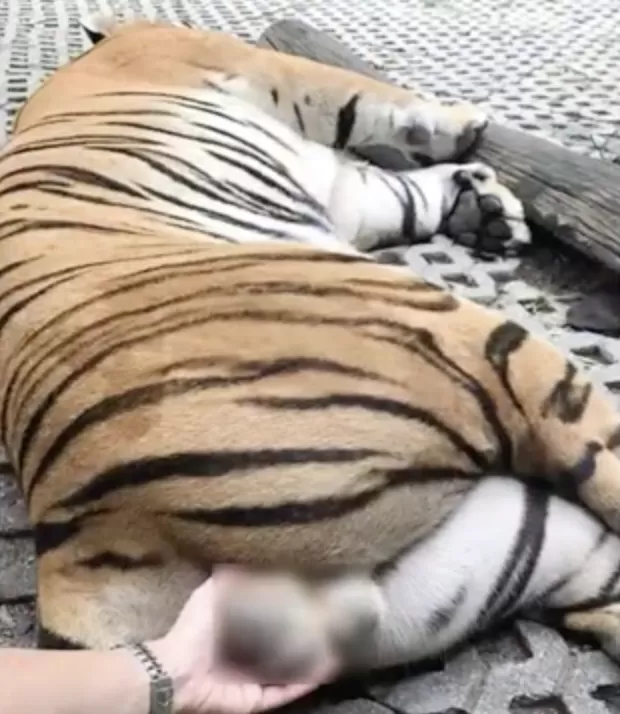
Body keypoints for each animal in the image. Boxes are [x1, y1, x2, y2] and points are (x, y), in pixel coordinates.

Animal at [3, 12, 620, 687]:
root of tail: (86, 537)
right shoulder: (267, 70)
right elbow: (366, 100)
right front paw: (466, 131)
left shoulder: (349, 190)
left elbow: (401, 193)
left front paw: (482, 208)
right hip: (488, 351)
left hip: (490, 554)